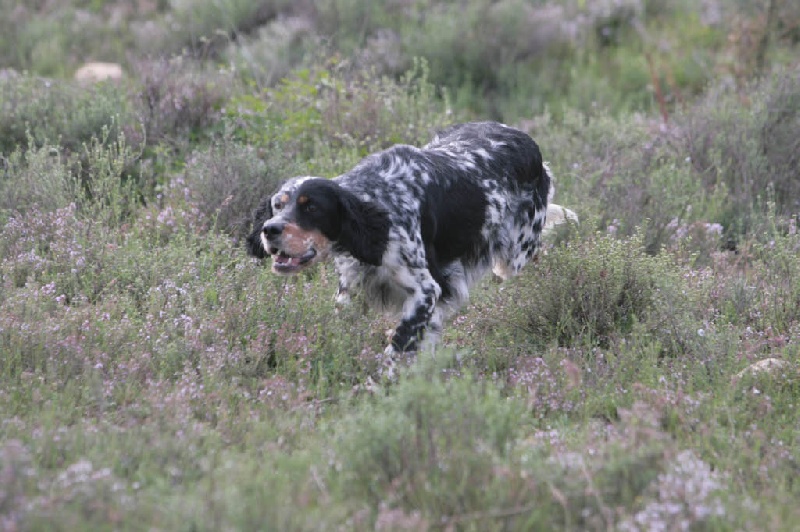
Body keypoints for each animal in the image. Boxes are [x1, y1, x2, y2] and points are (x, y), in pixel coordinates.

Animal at [244, 122, 576, 368]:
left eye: (311, 207)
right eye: (277, 205)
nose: (270, 230)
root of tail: (526, 139)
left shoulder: (426, 289)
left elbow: (398, 345)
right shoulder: (351, 290)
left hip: (514, 256)